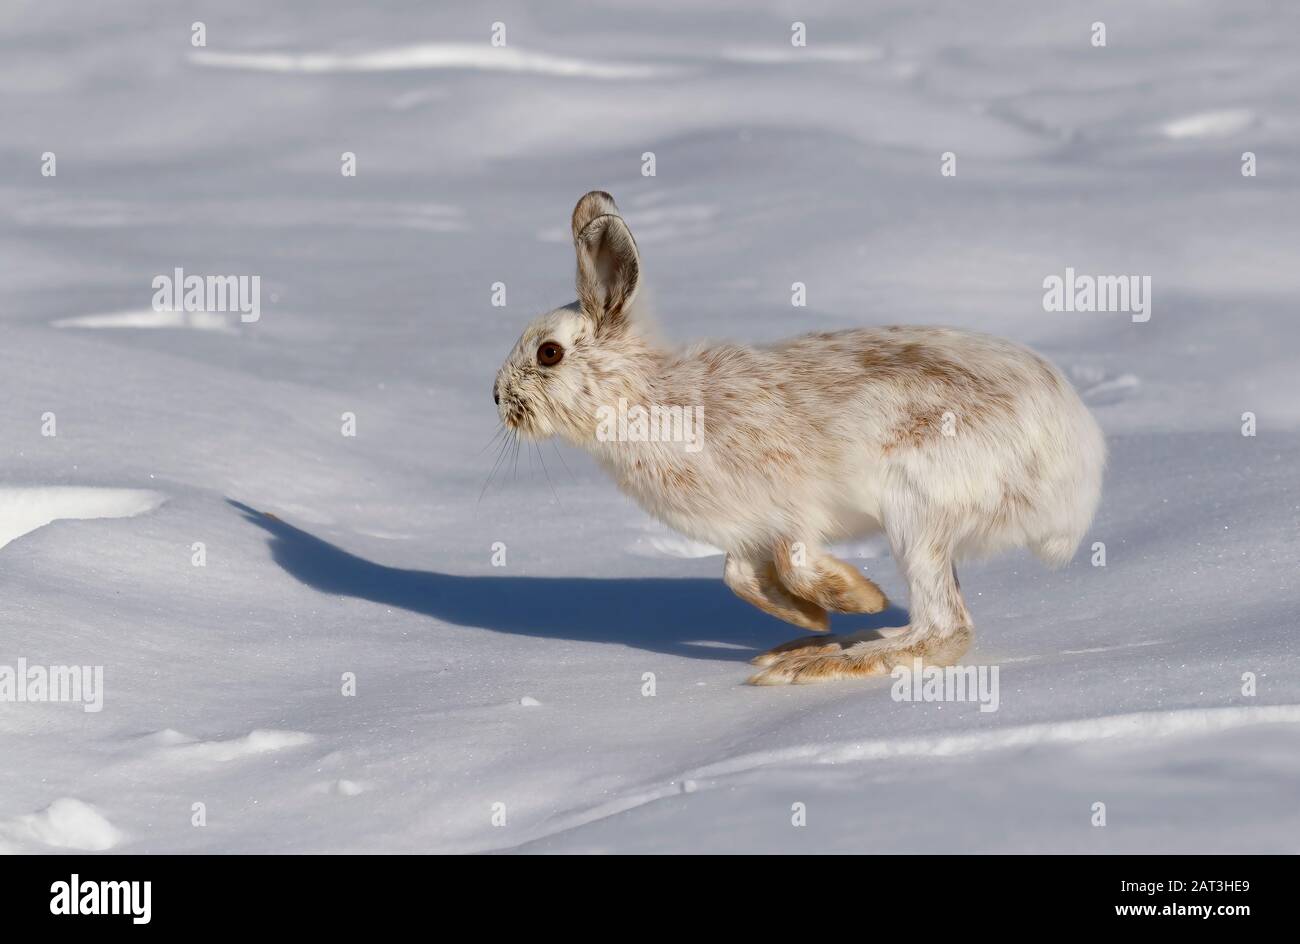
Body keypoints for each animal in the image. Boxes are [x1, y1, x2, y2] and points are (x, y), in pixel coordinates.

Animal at [494, 191, 1106, 685]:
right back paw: (818, 644)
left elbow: (793, 560)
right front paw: (814, 615)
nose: (498, 398)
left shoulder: (792, 504)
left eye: (549, 353)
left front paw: (859, 597)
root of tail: (1076, 478)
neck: (640, 399)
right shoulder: (745, 532)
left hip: (917, 505)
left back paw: (822, 663)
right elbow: (737, 575)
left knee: (945, 627)